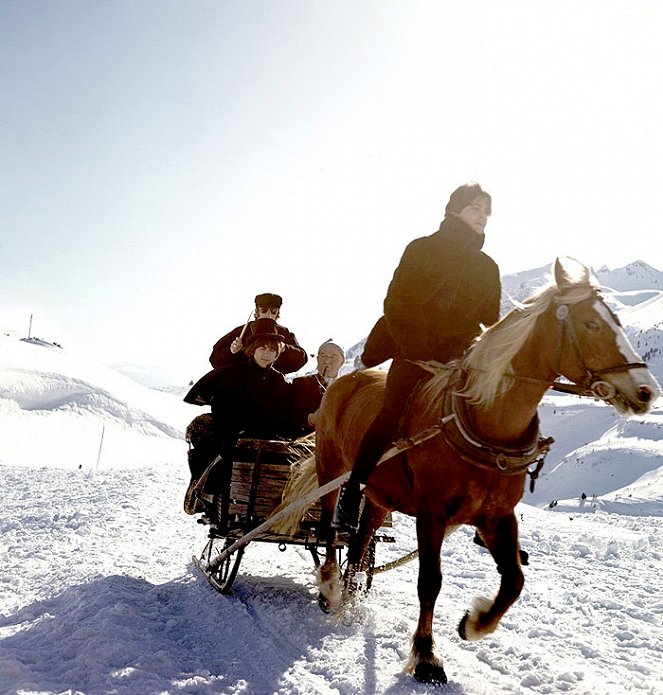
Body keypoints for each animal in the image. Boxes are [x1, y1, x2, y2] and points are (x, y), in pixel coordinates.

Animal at [274, 258, 660, 688]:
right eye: (592, 324)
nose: (646, 391)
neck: (484, 422)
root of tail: (341, 382)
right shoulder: (431, 513)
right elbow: (430, 582)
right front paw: (426, 657)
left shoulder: (497, 517)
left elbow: (514, 581)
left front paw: (474, 623)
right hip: (332, 468)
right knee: (329, 527)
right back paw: (329, 589)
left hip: (379, 497)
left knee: (359, 546)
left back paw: (352, 599)